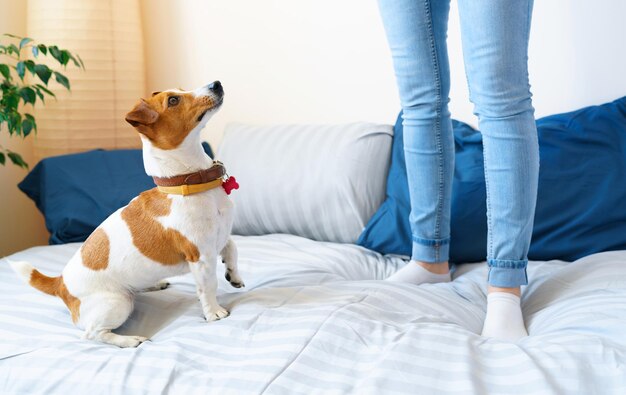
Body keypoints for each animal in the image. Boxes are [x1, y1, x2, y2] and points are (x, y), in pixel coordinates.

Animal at [10, 82, 244, 348]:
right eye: (173, 100)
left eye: (182, 90)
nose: (216, 84)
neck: (186, 183)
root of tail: (61, 283)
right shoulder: (201, 256)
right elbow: (209, 286)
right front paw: (213, 312)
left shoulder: (220, 237)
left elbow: (232, 248)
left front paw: (233, 275)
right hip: (117, 303)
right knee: (92, 334)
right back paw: (130, 340)